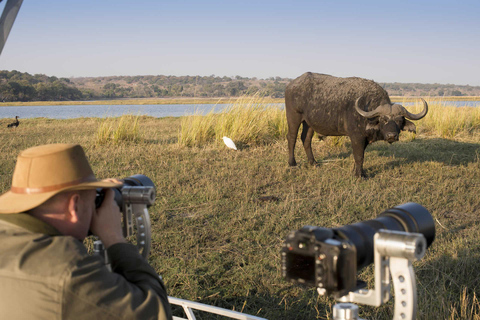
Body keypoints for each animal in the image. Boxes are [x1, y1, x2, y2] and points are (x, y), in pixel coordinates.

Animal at [284, 72, 428, 178]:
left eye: (399, 120)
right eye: (383, 119)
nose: (391, 136)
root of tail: (291, 85)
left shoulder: (364, 139)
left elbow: (360, 155)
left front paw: (357, 171)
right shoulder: (356, 137)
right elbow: (359, 156)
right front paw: (360, 175)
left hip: (309, 123)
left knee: (306, 139)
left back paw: (313, 162)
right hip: (293, 117)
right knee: (291, 138)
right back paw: (292, 163)